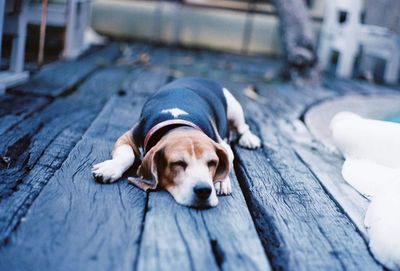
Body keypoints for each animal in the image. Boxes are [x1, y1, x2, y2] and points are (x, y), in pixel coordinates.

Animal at [91, 77, 260, 209]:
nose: (204, 190)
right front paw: (110, 168)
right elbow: (128, 155)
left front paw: (220, 181)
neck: (178, 123)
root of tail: (203, 78)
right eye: (178, 163)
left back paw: (249, 139)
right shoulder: (127, 137)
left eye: (212, 162)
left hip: (234, 108)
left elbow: (228, 160)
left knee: (243, 127)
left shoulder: (223, 145)